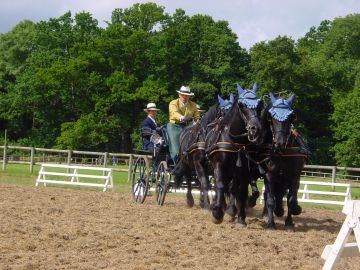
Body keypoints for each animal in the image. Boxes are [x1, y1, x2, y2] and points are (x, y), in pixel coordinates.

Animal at [205, 83, 264, 225]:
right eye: (242, 105)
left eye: (260, 104)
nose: (255, 128)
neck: (235, 141)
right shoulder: (218, 165)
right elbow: (220, 186)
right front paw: (217, 213)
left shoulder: (244, 171)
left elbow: (241, 191)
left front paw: (240, 217)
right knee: (221, 186)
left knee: (233, 188)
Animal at [260, 93, 308, 228]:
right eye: (272, 118)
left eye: (291, 117)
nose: (280, 142)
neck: (281, 153)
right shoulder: (269, 176)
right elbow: (270, 199)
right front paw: (271, 223)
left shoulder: (294, 177)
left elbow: (291, 200)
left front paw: (289, 222)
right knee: (269, 196)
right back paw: (268, 214)